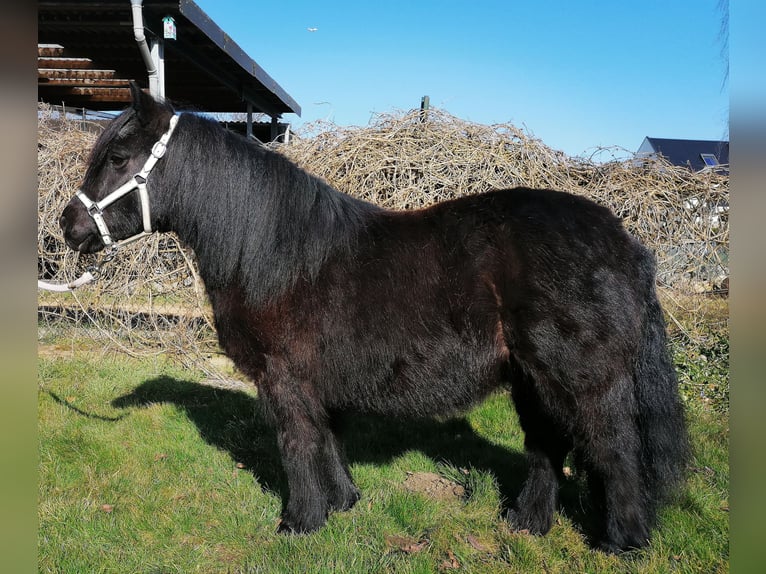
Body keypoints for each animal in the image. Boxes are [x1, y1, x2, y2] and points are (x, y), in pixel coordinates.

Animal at [61, 84, 688, 552]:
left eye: (117, 159)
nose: (69, 227)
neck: (273, 252)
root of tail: (626, 244)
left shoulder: (284, 378)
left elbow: (297, 445)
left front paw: (299, 523)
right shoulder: (318, 379)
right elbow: (327, 440)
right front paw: (343, 504)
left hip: (582, 379)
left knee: (613, 449)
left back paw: (622, 541)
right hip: (532, 380)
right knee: (546, 447)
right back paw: (526, 523)